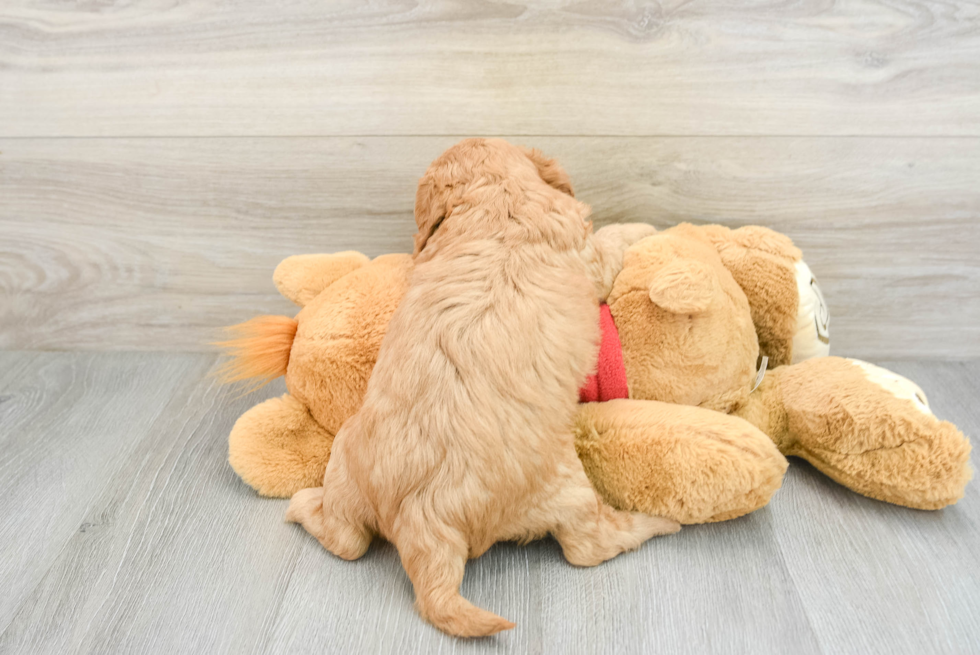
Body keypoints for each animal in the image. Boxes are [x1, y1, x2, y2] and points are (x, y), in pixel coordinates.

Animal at [288, 138, 676, 636]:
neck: (497, 198)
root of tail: (423, 519)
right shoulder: (587, 253)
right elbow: (611, 240)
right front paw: (642, 227)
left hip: (345, 458)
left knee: (345, 539)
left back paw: (302, 504)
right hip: (564, 488)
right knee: (588, 546)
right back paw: (655, 523)